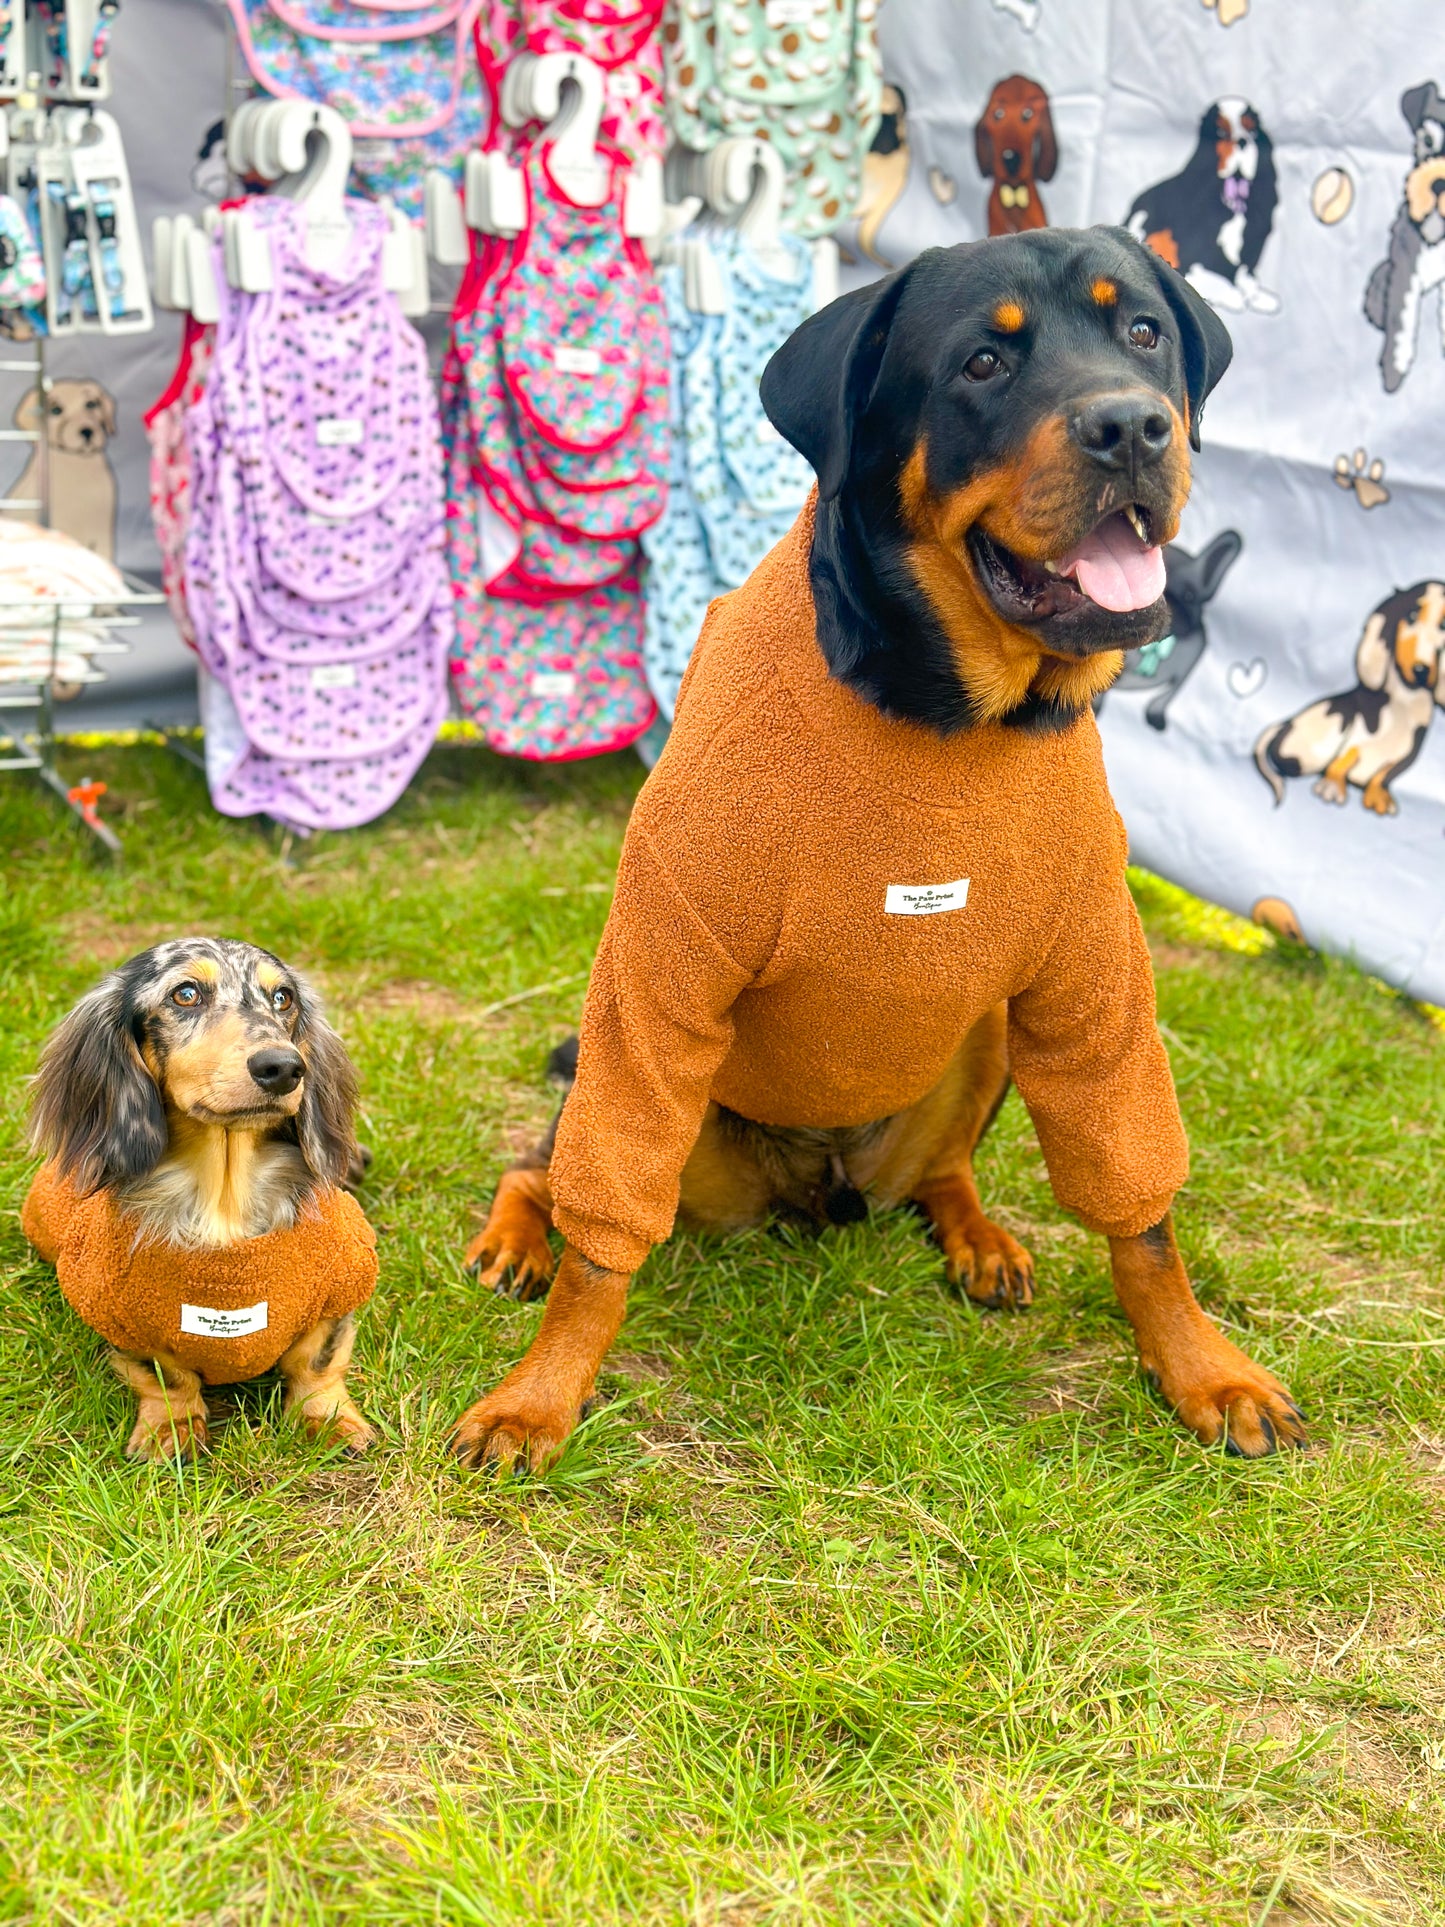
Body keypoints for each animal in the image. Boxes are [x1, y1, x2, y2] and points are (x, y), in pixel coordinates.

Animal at [26, 936, 375, 1456]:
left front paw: (329, 1419)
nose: (283, 1067)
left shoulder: (339, 1289)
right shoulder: (124, 1318)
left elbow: (316, 1363)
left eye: (283, 998)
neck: (224, 1198)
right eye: (186, 994)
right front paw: (170, 1430)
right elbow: (167, 1378)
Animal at [454, 233, 1310, 1479]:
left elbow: (1141, 1215)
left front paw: (1201, 1367)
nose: (1131, 427)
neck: (946, 717)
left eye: (1143, 331)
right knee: (550, 1167)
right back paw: (515, 1238)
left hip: (988, 1030)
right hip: (660, 1106)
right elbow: (601, 1248)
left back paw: (978, 1236)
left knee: (944, 1167)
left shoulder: (1091, 977)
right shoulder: (661, 971)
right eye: (982, 361)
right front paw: (540, 1394)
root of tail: (816, 1194)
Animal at [1256, 570, 1445, 813]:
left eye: (1443, 625)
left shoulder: (1400, 758)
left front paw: (1378, 796)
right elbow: (1347, 756)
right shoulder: (1353, 738)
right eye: (1412, 615)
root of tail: (1286, 724)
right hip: (1327, 725)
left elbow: (1382, 774)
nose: (1421, 670)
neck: (1404, 702)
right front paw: (1332, 787)